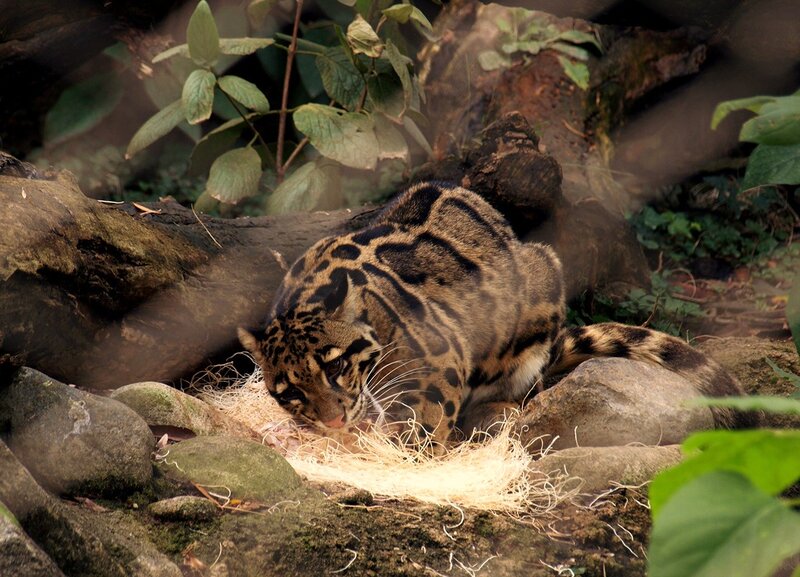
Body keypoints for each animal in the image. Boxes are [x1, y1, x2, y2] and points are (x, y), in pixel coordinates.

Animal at [239, 181, 752, 447]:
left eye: (337, 366)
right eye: (290, 392)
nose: (333, 422)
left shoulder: (442, 359)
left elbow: (430, 422)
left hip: (542, 275)